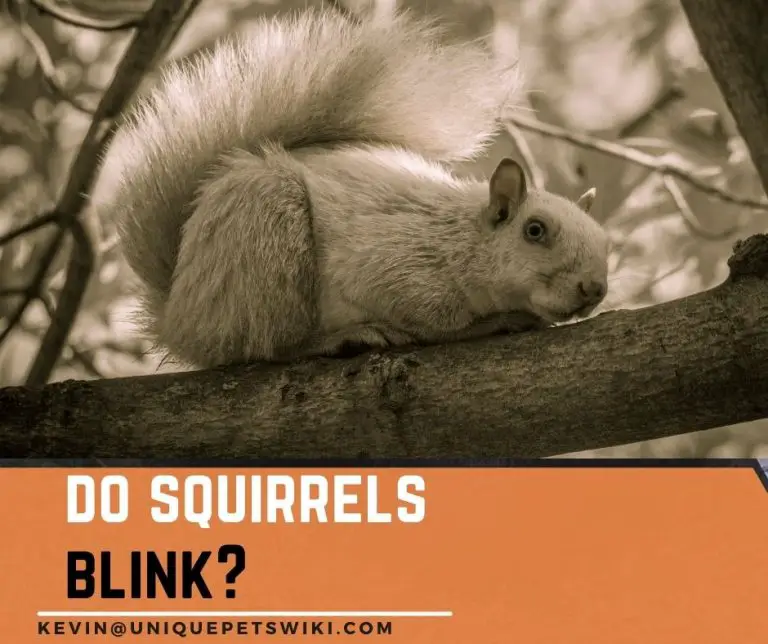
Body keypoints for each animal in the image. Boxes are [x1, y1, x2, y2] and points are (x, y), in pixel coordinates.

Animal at [101, 8, 610, 369]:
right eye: (535, 230)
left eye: (605, 241)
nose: (595, 288)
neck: (459, 239)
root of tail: (177, 314)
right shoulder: (395, 266)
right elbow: (435, 323)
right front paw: (490, 324)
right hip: (263, 229)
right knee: (264, 346)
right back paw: (339, 339)